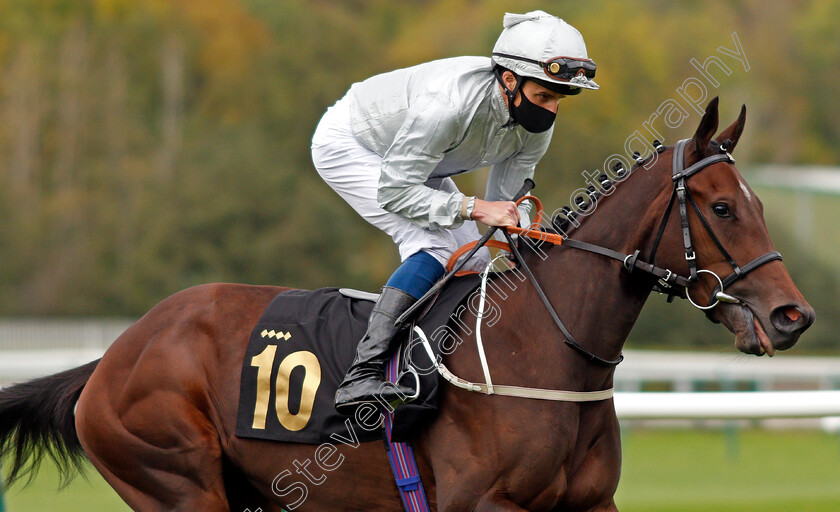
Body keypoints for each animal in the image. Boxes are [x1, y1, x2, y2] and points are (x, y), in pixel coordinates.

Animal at [0, 98, 812, 510]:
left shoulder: (588, 506)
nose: (791, 316)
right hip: (174, 481)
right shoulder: (483, 507)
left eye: (759, 202)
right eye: (722, 208)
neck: (544, 353)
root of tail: (111, 358)